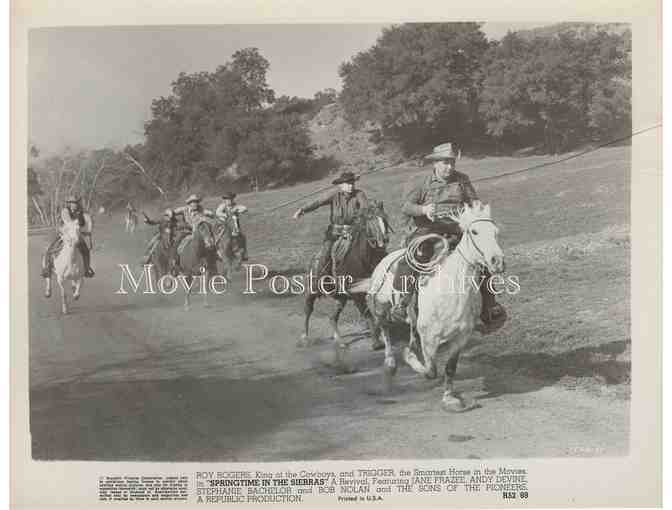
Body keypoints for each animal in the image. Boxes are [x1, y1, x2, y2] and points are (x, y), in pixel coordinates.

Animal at [300, 199, 392, 354]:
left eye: (384, 218)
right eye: (370, 219)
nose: (384, 239)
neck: (364, 259)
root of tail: (314, 259)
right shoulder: (357, 294)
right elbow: (367, 314)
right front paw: (376, 343)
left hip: (341, 298)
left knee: (333, 317)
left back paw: (340, 341)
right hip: (311, 291)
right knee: (308, 310)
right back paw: (305, 338)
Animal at [360, 201, 502, 412]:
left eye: (495, 232)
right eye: (474, 232)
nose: (497, 261)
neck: (452, 291)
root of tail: (384, 261)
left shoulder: (460, 338)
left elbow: (449, 368)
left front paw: (450, 398)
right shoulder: (429, 337)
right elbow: (430, 370)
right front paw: (410, 358)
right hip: (381, 306)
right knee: (384, 328)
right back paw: (390, 363)